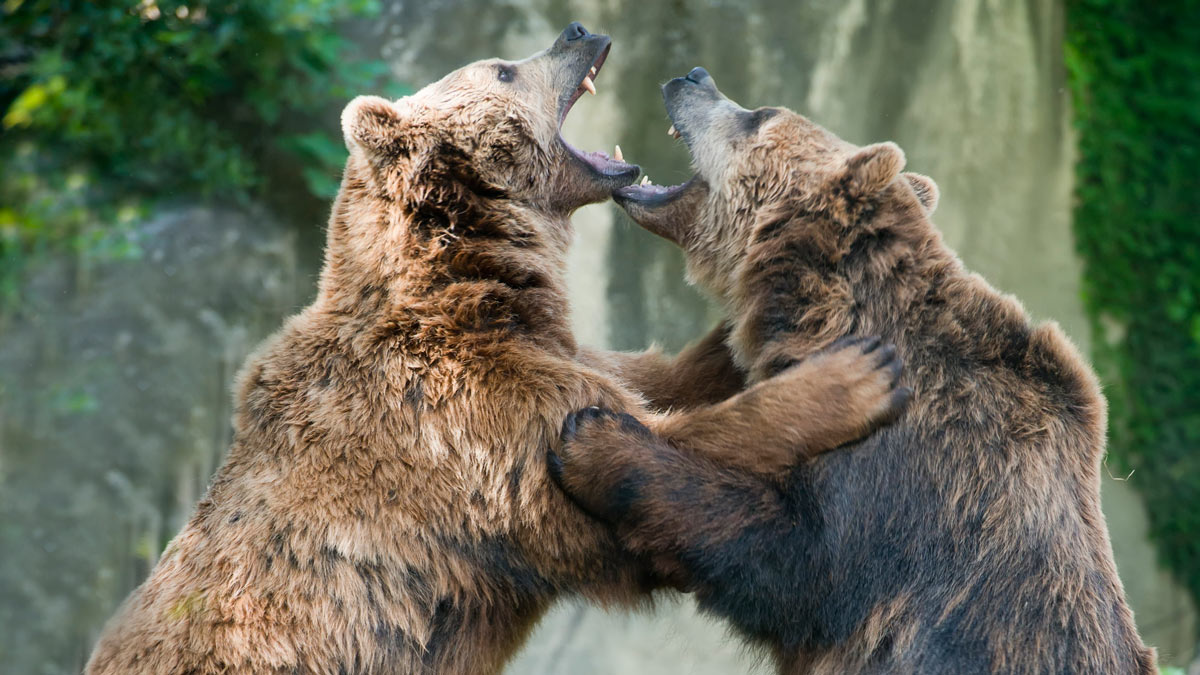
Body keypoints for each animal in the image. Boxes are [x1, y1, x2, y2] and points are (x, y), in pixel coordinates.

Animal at [87, 27, 907, 672]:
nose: (578, 27)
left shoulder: (544, 341)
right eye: (505, 67)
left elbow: (655, 376)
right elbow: (642, 451)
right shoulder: (455, 420)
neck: (469, 284)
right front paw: (855, 376)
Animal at [549, 65, 1156, 667]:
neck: (833, 315)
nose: (693, 76)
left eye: (762, 114)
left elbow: (796, 564)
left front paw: (597, 440)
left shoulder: (916, 473)